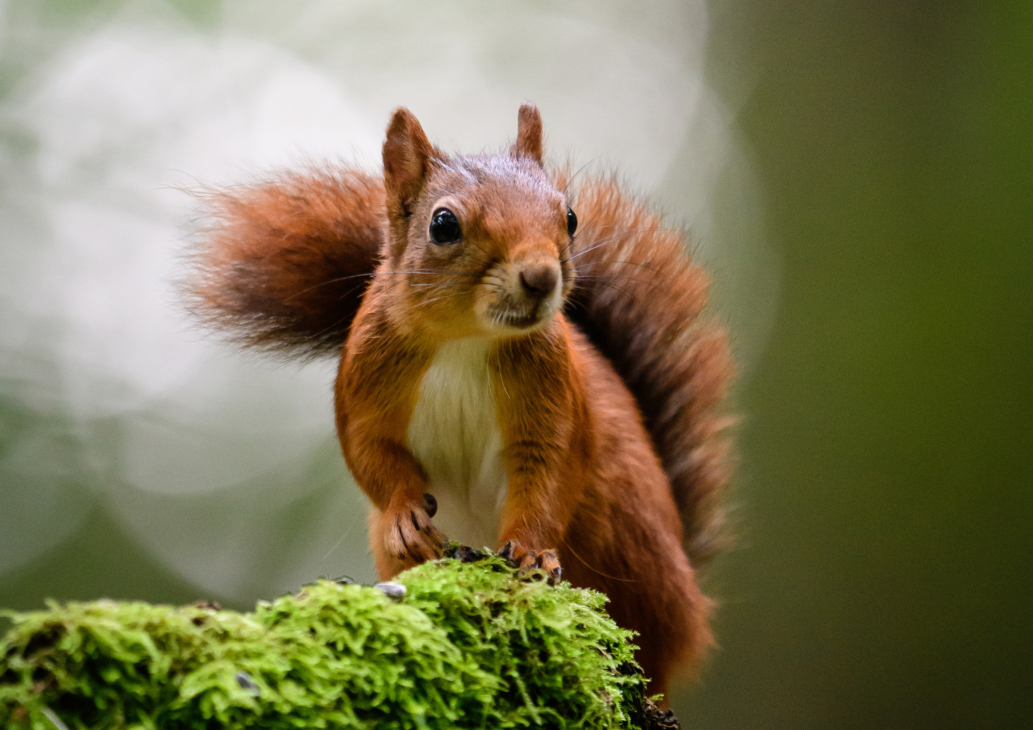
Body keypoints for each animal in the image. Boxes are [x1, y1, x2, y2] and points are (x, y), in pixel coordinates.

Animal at [188, 104, 735, 697]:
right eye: (444, 224)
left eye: (569, 217)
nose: (541, 276)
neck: (466, 339)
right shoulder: (363, 385)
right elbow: (368, 453)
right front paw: (405, 518)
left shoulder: (554, 402)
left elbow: (551, 473)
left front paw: (532, 552)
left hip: (628, 538)